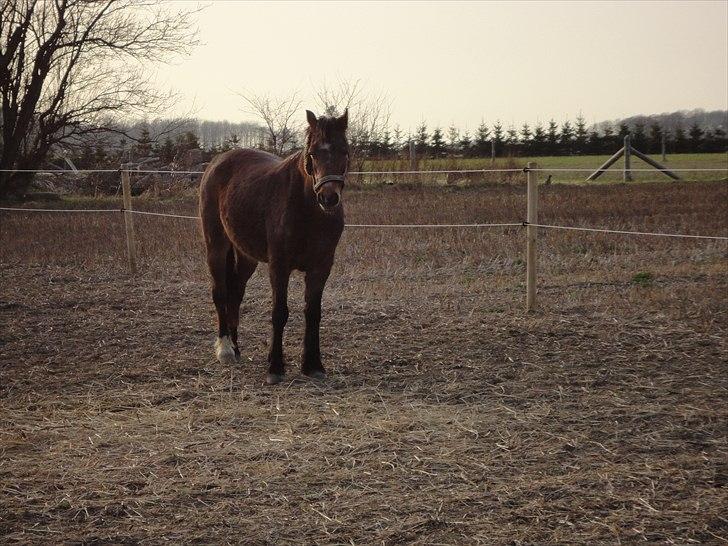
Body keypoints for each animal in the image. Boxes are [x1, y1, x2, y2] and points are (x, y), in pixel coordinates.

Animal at [198, 108, 348, 382]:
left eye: (344, 151)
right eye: (313, 153)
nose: (329, 197)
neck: (307, 207)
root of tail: (217, 162)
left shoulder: (321, 267)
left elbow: (313, 312)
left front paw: (313, 365)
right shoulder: (279, 265)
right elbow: (279, 312)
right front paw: (275, 367)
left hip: (246, 256)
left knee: (235, 293)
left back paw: (236, 347)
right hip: (216, 246)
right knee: (220, 292)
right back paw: (225, 349)